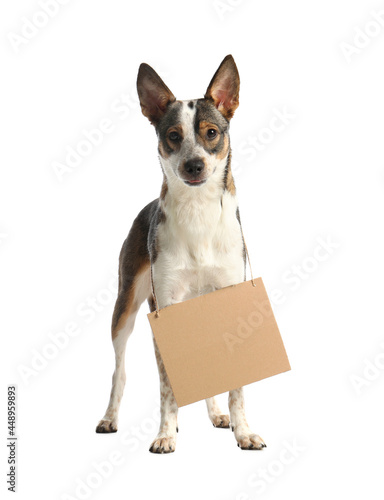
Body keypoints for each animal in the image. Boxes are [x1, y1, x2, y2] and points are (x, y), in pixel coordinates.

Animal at [95, 54, 268, 454]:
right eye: (173, 136)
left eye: (211, 133)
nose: (194, 165)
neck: (198, 212)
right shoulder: (166, 308)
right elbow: (167, 387)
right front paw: (164, 434)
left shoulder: (230, 299)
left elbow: (235, 383)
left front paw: (242, 430)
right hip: (125, 308)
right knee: (119, 371)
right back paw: (110, 417)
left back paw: (216, 414)